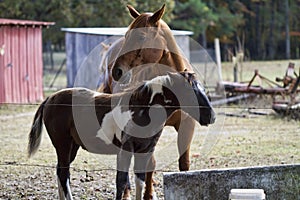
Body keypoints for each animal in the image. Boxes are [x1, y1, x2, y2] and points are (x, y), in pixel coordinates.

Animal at [28, 71, 216, 199]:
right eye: (190, 91)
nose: (211, 116)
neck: (141, 108)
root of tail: (50, 99)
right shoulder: (125, 150)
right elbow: (122, 181)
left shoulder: (145, 150)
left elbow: (140, 180)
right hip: (63, 145)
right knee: (63, 174)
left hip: (72, 147)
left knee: (60, 171)